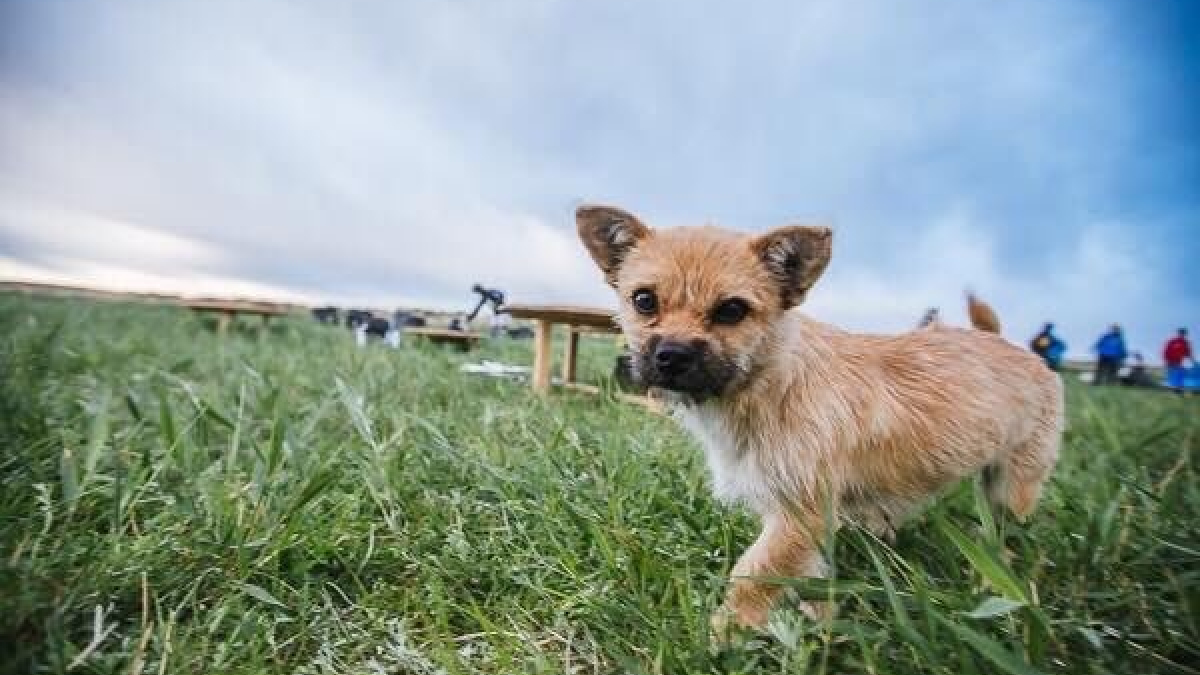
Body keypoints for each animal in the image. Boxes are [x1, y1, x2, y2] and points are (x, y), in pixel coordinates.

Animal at [576, 204, 1065, 629]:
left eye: (732, 309)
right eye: (644, 300)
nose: (672, 355)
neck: (767, 384)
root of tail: (1012, 345)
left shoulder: (797, 514)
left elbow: (753, 575)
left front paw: (724, 636)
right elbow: (806, 578)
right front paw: (817, 623)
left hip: (1014, 484)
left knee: (1007, 530)